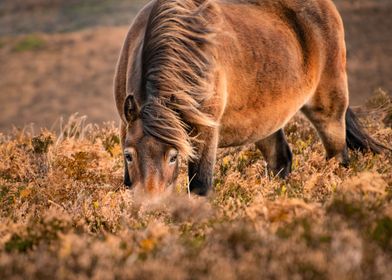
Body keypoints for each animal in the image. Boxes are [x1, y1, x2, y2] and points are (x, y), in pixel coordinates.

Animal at [112, 0, 386, 195]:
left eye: (173, 156)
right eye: (128, 155)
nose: (151, 204)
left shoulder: (205, 132)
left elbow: (200, 186)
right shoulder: (126, 126)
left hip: (329, 108)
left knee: (337, 157)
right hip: (265, 122)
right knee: (280, 160)